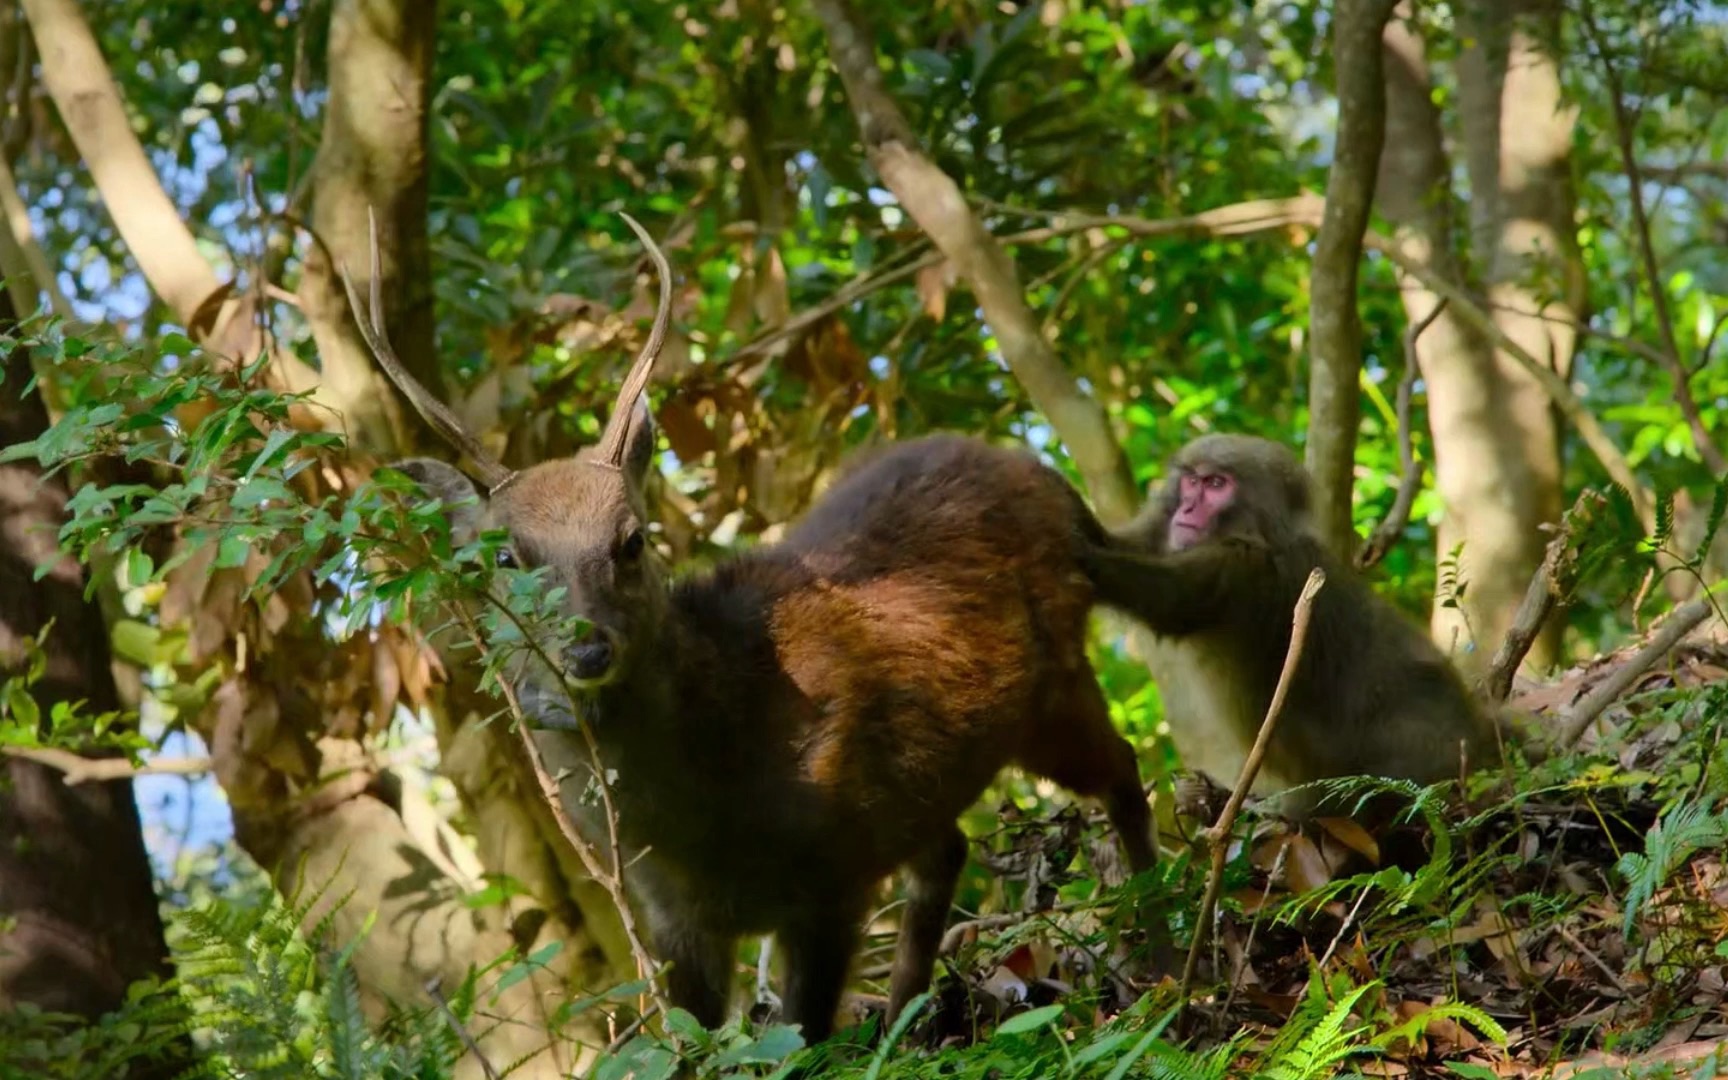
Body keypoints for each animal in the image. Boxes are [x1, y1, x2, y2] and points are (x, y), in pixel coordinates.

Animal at [345, 213, 1164, 1042]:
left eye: (631, 540)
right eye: (507, 556)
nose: (587, 648)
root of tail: (1053, 483)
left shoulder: (834, 870)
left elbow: (802, 1039)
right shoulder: (675, 918)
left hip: (1054, 686)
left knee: (1124, 770)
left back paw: (1159, 956)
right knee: (952, 849)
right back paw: (910, 1021)